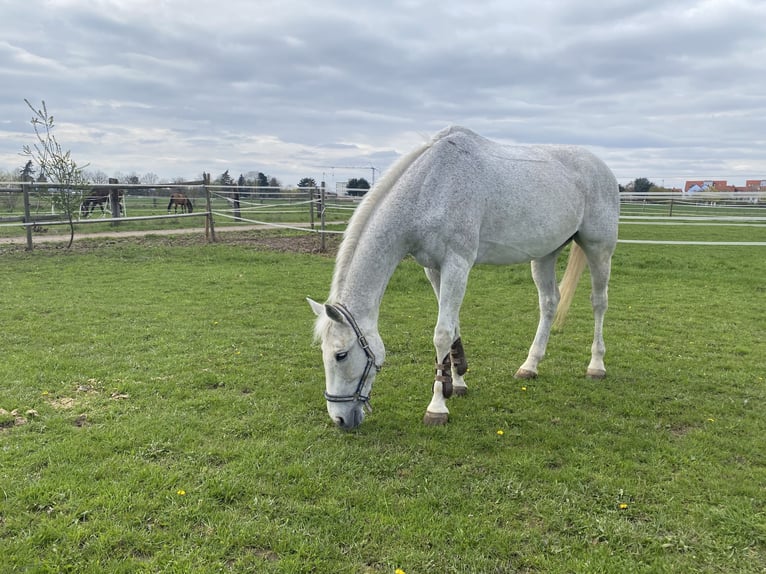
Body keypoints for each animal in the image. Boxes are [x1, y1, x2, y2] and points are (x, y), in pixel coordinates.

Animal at [308, 127, 620, 432]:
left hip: (599, 249)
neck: (431, 186)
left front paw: (436, 407)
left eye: (340, 355)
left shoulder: (457, 264)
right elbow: (454, 328)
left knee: (599, 302)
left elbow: (442, 333)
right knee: (549, 302)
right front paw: (456, 384)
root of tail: (602, 167)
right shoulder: (433, 268)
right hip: (545, 254)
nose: (340, 419)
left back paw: (596, 365)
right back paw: (530, 366)